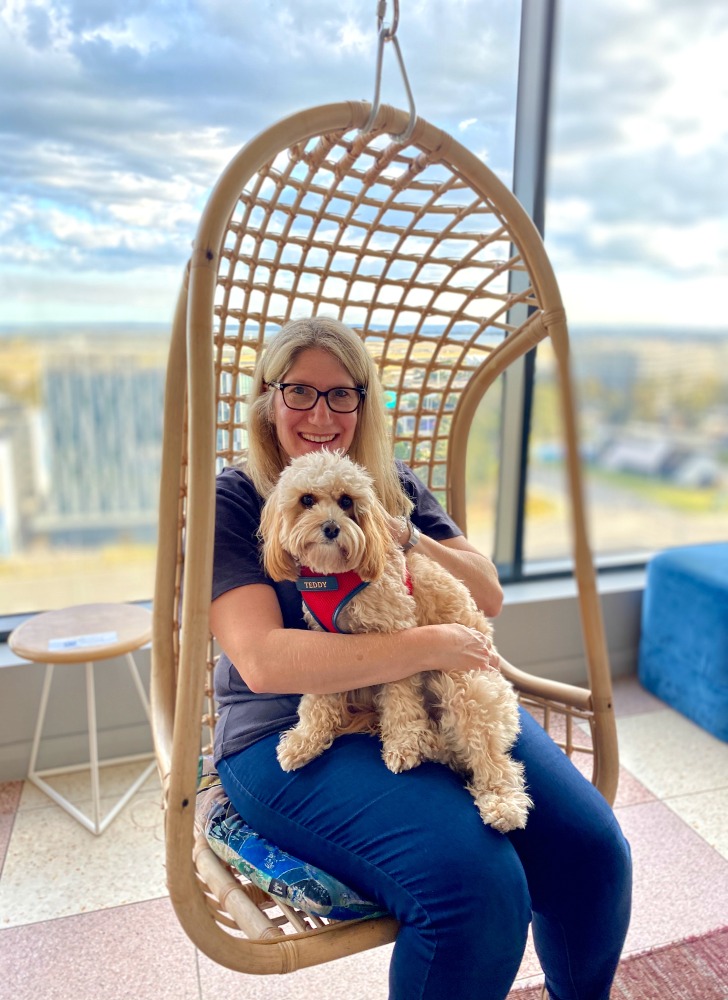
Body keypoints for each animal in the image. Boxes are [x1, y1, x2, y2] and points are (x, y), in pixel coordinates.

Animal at [258, 450, 532, 832]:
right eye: (307, 500)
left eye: (346, 501)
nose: (331, 528)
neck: (336, 576)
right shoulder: (325, 645)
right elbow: (318, 701)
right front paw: (304, 739)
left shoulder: (398, 639)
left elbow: (401, 701)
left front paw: (402, 745)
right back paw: (430, 742)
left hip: (467, 686)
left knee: (495, 760)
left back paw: (501, 802)